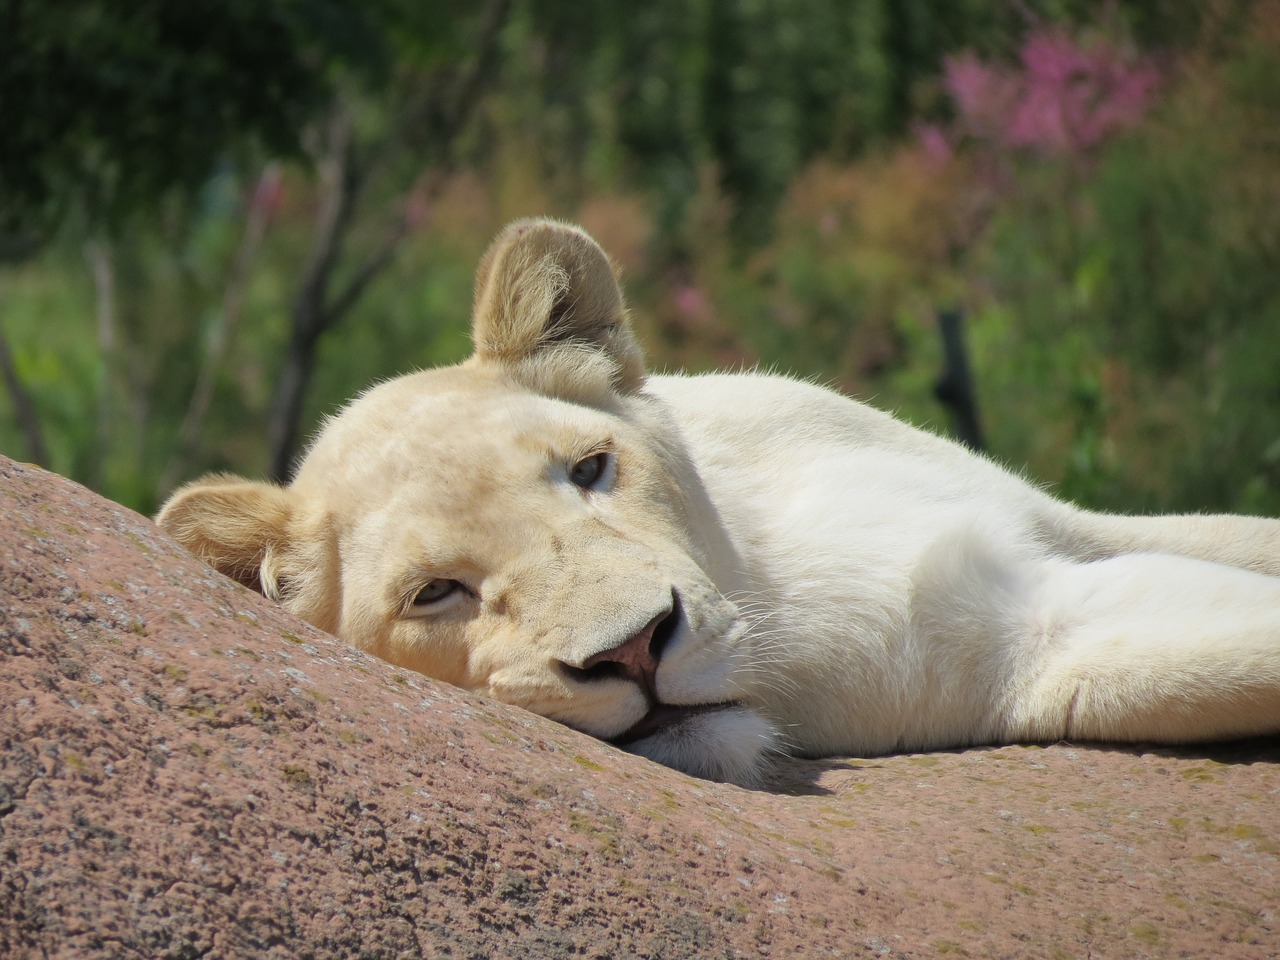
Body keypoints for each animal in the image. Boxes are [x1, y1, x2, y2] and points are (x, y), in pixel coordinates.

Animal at [160, 220, 1280, 788]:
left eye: (590, 470)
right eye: (437, 592)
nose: (633, 651)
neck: (772, 576)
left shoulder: (1055, 542)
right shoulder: (1035, 649)